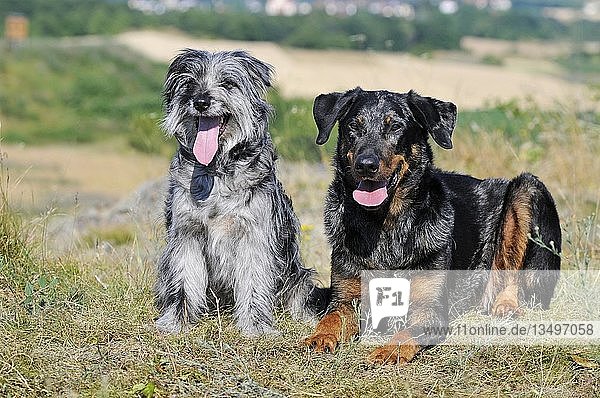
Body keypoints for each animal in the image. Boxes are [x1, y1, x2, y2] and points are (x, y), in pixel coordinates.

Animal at [152, 49, 326, 336]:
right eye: (190, 83)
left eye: (228, 83)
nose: (201, 101)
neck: (216, 170)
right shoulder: (186, 232)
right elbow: (184, 278)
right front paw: (176, 321)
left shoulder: (253, 235)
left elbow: (253, 280)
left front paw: (255, 326)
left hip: (299, 276)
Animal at [304, 88, 564, 366]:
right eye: (354, 126)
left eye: (396, 126)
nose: (366, 164)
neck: (385, 225)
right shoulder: (346, 298)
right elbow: (332, 317)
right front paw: (319, 337)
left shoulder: (430, 308)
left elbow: (406, 333)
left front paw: (388, 351)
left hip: (526, 189)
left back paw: (506, 306)